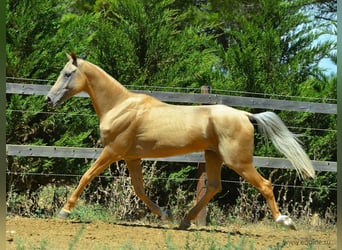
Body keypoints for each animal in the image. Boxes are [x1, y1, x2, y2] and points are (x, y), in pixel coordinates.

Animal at [46, 52, 316, 230]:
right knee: (214, 186)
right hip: (213, 156)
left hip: (238, 161)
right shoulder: (132, 157)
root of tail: (245, 115)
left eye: (67, 74)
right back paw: (184, 221)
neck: (120, 106)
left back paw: (284, 221)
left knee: (265, 185)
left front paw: (64, 211)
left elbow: (86, 176)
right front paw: (165, 215)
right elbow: (139, 189)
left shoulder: (112, 151)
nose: (49, 99)